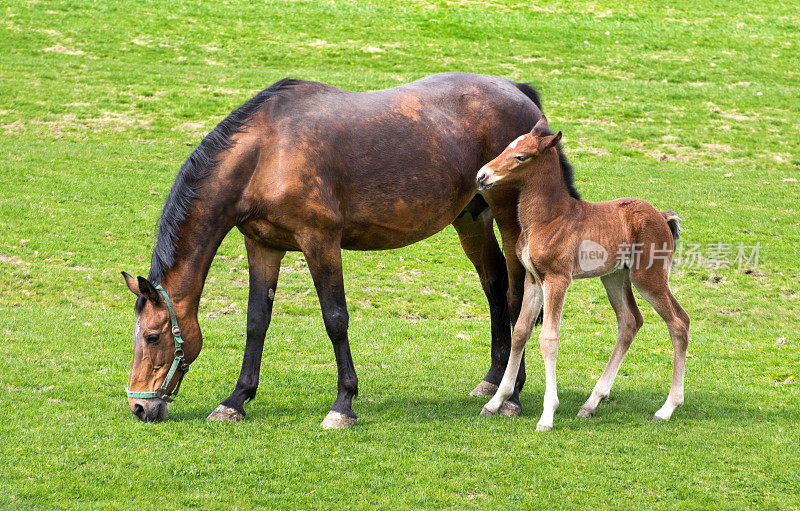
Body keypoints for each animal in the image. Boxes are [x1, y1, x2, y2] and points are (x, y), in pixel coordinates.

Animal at [476, 117, 688, 432]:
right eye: (506, 147)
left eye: (521, 157)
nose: (482, 176)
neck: (548, 219)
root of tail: (662, 216)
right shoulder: (533, 279)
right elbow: (521, 332)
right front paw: (495, 403)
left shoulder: (557, 279)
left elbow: (549, 339)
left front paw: (547, 416)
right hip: (614, 277)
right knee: (630, 322)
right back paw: (591, 403)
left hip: (649, 278)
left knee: (678, 323)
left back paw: (667, 408)